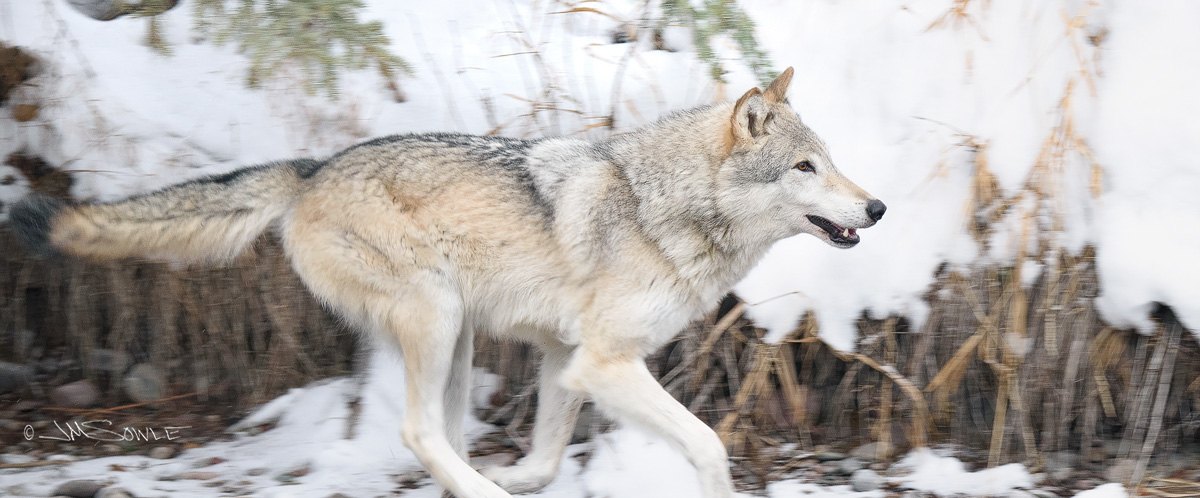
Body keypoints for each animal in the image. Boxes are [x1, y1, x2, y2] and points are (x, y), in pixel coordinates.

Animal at [9, 68, 884, 498]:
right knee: (416, 432)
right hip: (435, 314)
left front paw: (516, 477)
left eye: (834, 161)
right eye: (804, 168)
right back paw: (475, 491)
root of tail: (311, 167)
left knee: (442, 436)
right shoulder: (607, 364)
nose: (876, 206)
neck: (658, 208)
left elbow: (546, 458)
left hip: (458, 335)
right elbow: (706, 445)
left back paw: (476, 486)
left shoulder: (568, 361)